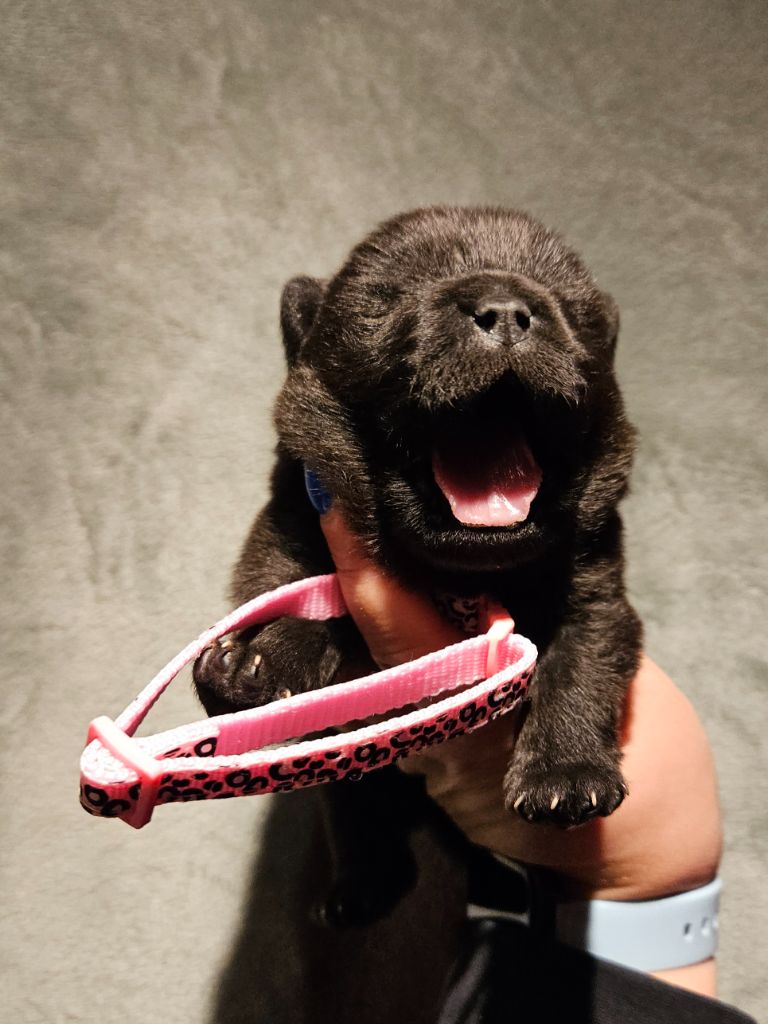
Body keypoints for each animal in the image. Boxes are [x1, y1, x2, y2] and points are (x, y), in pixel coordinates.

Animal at [193, 206, 642, 924]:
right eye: (393, 295)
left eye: (570, 304)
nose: (506, 308)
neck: (460, 574)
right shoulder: (290, 520)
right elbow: (290, 587)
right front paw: (256, 659)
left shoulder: (598, 588)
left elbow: (580, 661)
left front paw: (565, 776)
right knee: (356, 814)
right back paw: (360, 889)